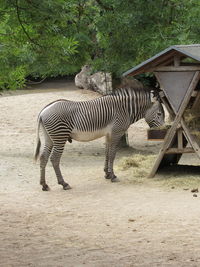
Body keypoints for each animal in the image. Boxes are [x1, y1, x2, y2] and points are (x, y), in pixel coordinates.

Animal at [35, 87, 165, 191]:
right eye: (159, 114)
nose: (163, 131)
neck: (124, 110)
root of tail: (43, 112)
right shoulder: (116, 133)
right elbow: (112, 154)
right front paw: (113, 176)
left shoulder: (108, 134)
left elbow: (107, 153)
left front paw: (107, 174)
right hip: (60, 136)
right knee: (54, 159)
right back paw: (63, 183)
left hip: (49, 137)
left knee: (43, 157)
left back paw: (44, 185)